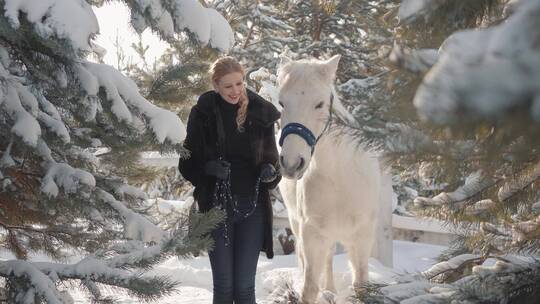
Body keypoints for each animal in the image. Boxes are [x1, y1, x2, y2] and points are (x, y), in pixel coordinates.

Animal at [278, 55, 392, 302]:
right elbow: (310, 288)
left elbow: (361, 284)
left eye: (320, 104)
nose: (291, 163)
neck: (339, 176)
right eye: (282, 103)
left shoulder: (362, 236)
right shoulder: (312, 235)